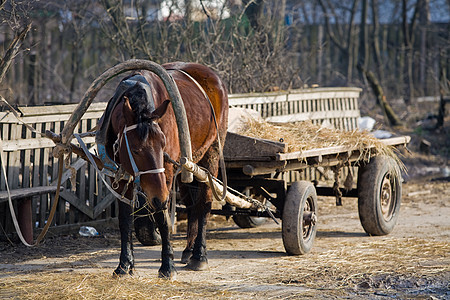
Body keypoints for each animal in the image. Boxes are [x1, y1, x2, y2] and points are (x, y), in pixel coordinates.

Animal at [102, 61, 229, 278]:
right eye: (135, 149)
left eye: (163, 145)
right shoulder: (120, 175)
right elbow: (125, 219)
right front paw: (125, 264)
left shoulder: (166, 175)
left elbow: (162, 216)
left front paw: (167, 265)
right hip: (187, 167)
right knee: (191, 204)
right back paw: (188, 250)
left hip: (211, 154)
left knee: (203, 203)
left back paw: (199, 255)